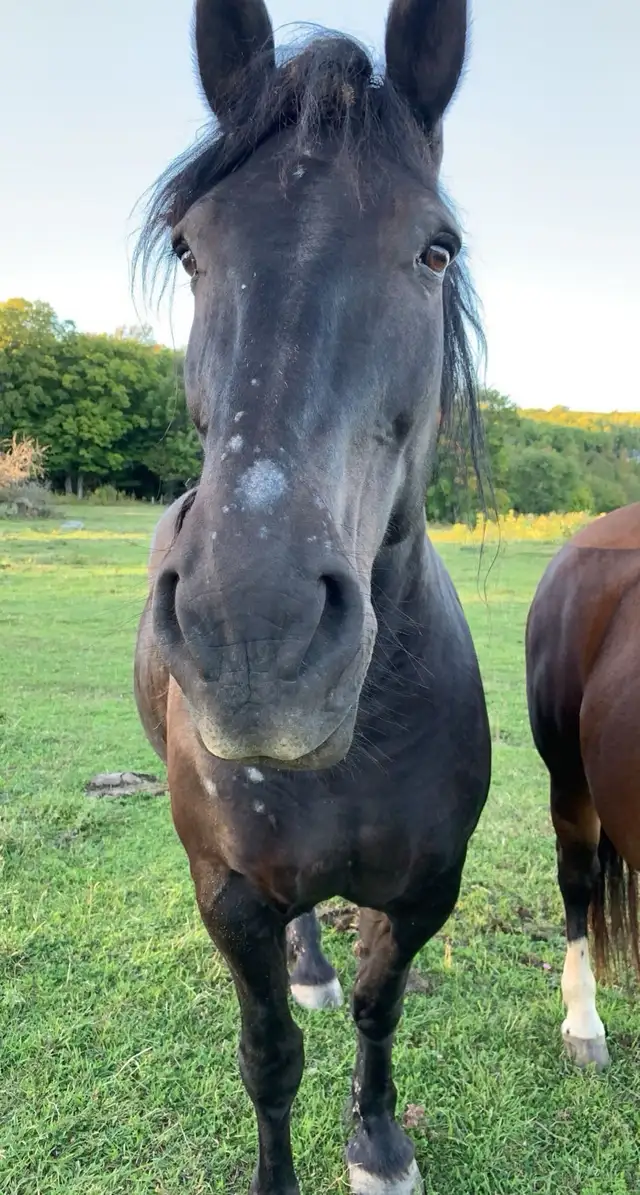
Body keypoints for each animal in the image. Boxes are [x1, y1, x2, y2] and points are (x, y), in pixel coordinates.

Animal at [134, 2, 491, 1192]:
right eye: (191, 247)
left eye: (436, 247)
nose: (257, 632)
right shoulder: (231, 897)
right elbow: (269, 1057)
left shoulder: (426, 888)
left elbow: (382, 1009)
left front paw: (377, 1140)